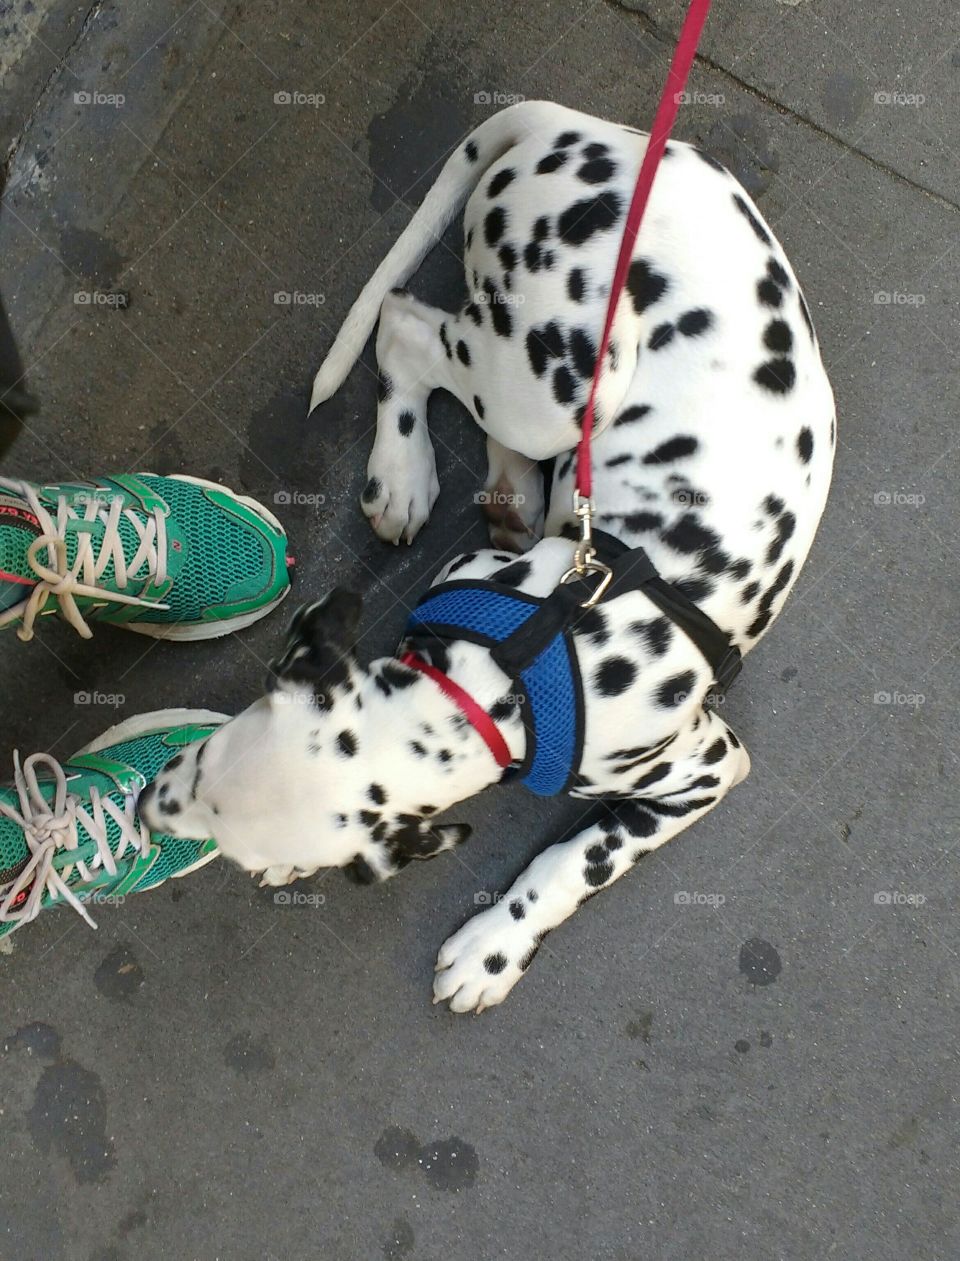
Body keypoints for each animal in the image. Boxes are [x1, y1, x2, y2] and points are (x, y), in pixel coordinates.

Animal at [138, 105, 837, 1013]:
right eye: (197, 756)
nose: (146, 807)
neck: (509, 681)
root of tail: (583, 127)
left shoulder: (707, 766)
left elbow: (586, 856)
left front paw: (494, 947)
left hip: (556, 384)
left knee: (409, 330)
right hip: (562, 381)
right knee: (410, 329)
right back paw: (417, 475)